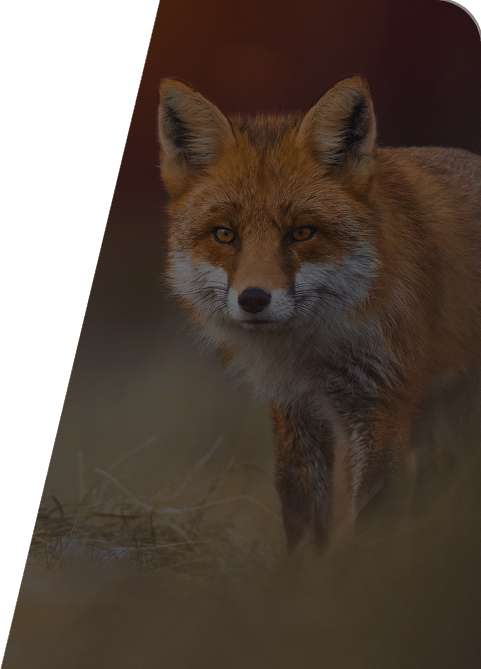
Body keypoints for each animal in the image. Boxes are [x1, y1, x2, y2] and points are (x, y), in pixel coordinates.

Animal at [157, 76, 481, 550]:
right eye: (225, 235)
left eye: (302, 233)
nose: (253, 299)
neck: (311, 351)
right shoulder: (293, 403)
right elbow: (301, 508)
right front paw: (304, 571)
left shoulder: (382, 401)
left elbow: (373, 513)